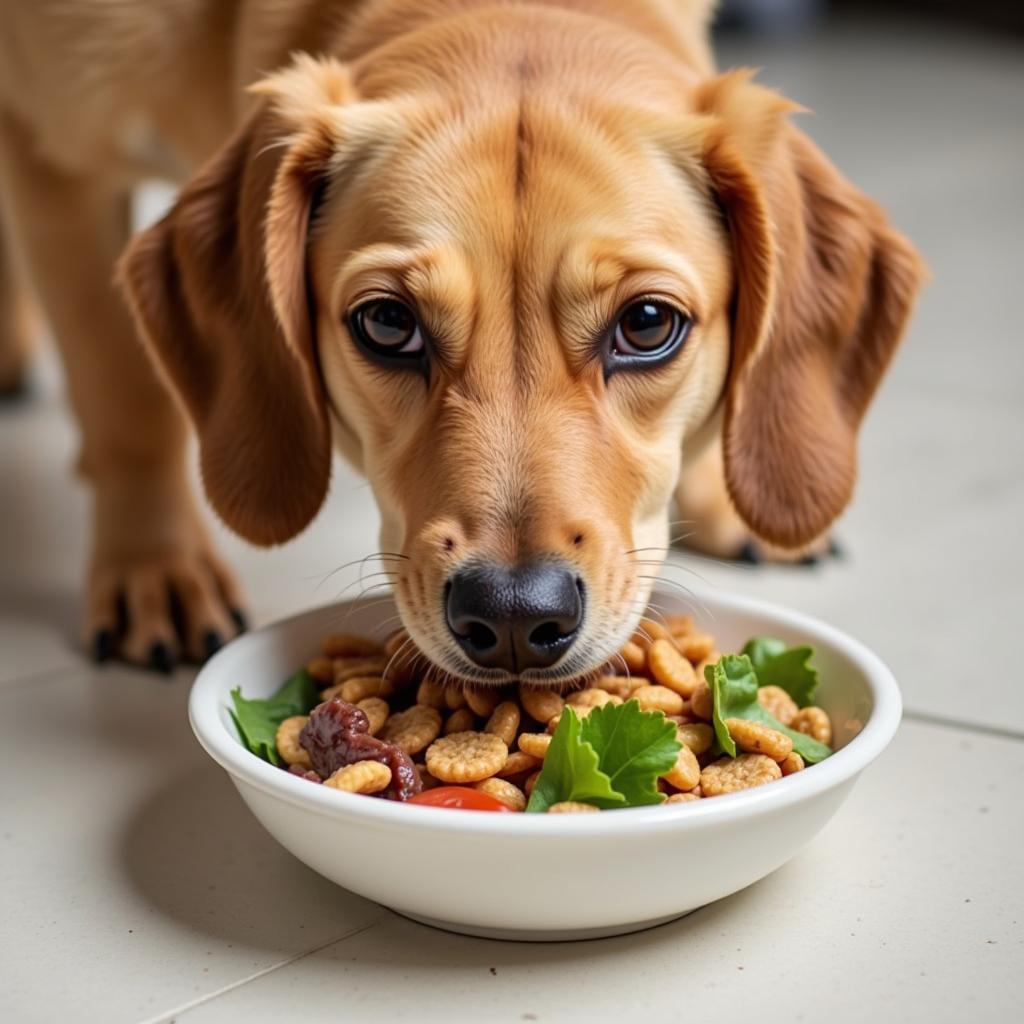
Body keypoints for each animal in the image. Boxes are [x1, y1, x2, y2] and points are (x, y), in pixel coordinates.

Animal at [0, 4, 925, 684]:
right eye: (387, 323)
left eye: (647, 324)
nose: (515, 616)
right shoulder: (51, 155)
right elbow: (125, 396)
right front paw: (154, 566)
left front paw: (727, 499)